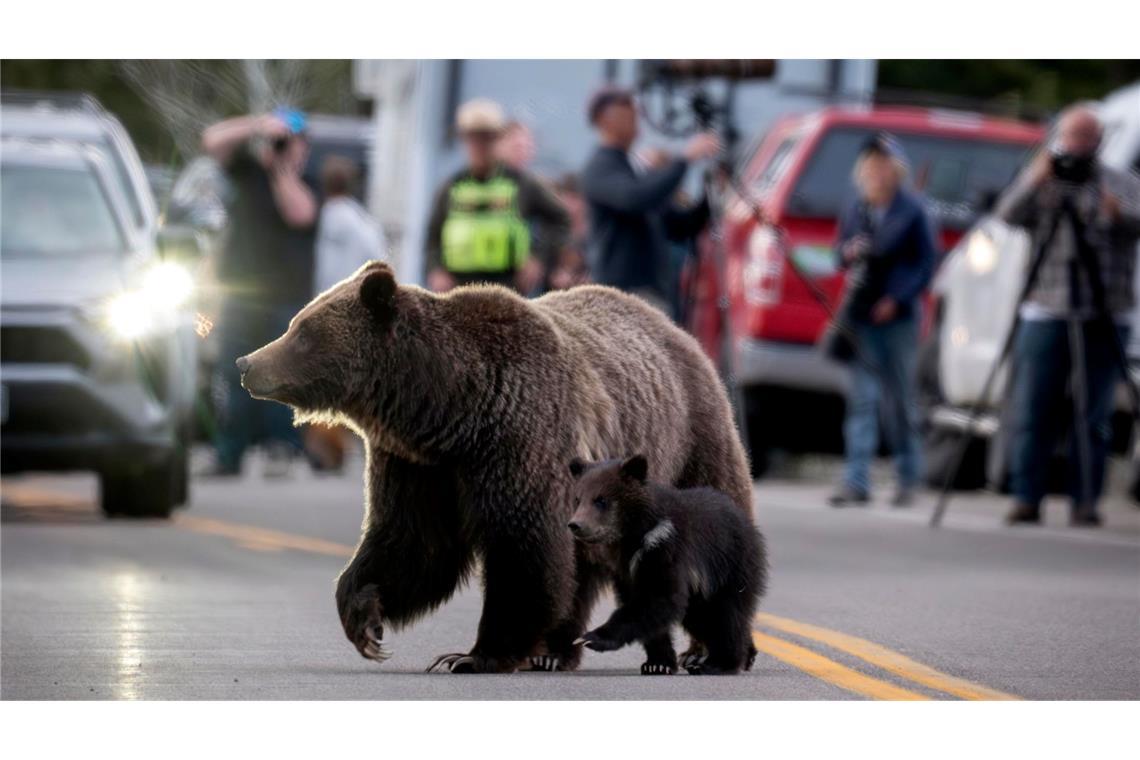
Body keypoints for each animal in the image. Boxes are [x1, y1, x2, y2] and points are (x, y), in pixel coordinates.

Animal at [567, 455, 766, 674]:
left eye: (601, 500)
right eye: (577, 499)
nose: (575, 525)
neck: (634, 537)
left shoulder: (666, 550)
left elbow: (660, 598)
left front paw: (589, 638)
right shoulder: (624, 569)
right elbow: (643, 605)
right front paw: (657, 663)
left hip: (731, 566)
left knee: (726, 616)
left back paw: (720, 663)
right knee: (703, 617)